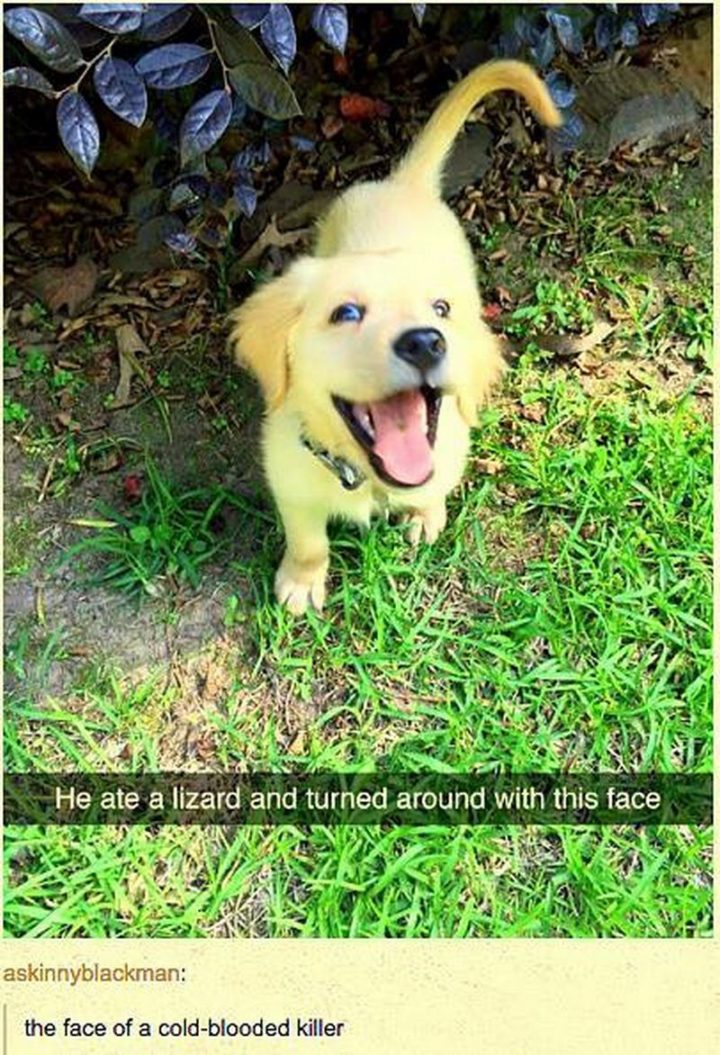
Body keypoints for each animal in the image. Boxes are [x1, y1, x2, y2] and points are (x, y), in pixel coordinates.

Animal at [232, 57, 557, 616]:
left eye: (441, 309)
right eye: (345, 312)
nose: (425, 342)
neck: (364, 474)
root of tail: (406, 185)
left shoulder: (447, 450)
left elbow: (432, 489)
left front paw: (425, 516)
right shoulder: (290, 479)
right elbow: (308, 540)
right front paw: (302, 580)